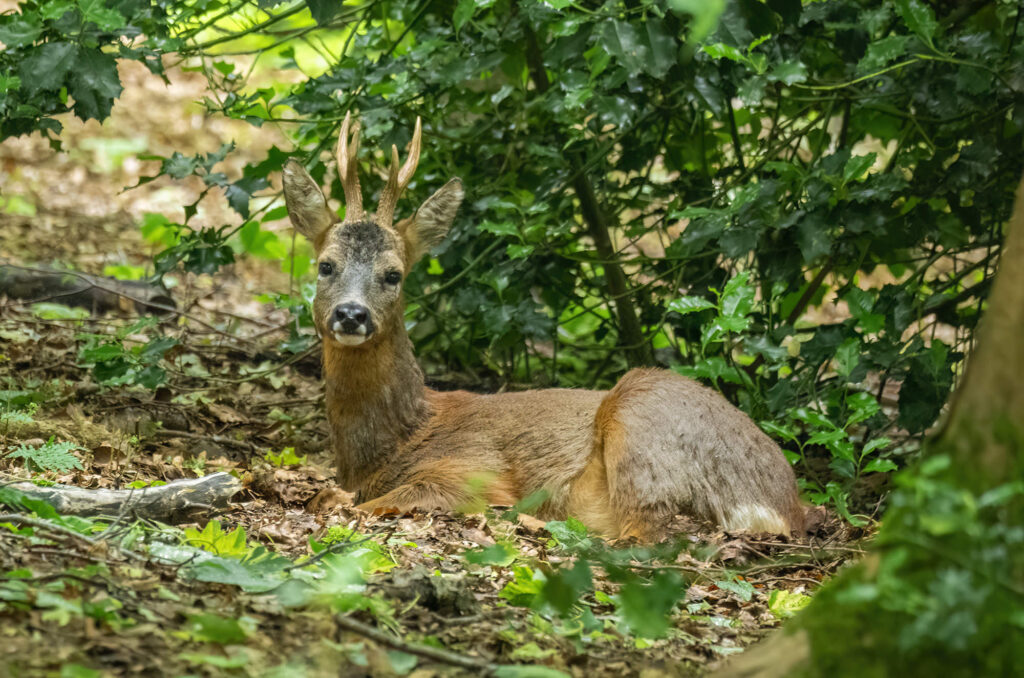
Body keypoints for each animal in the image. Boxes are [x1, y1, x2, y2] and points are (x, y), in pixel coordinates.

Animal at [282, 114, 806, 544]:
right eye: (325, 265)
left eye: (394, 274)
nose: (352, 314)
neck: (396, 442)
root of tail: (785, 505)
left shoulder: (471, 470)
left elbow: (372, 504)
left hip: (642, 415)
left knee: (645, 534)